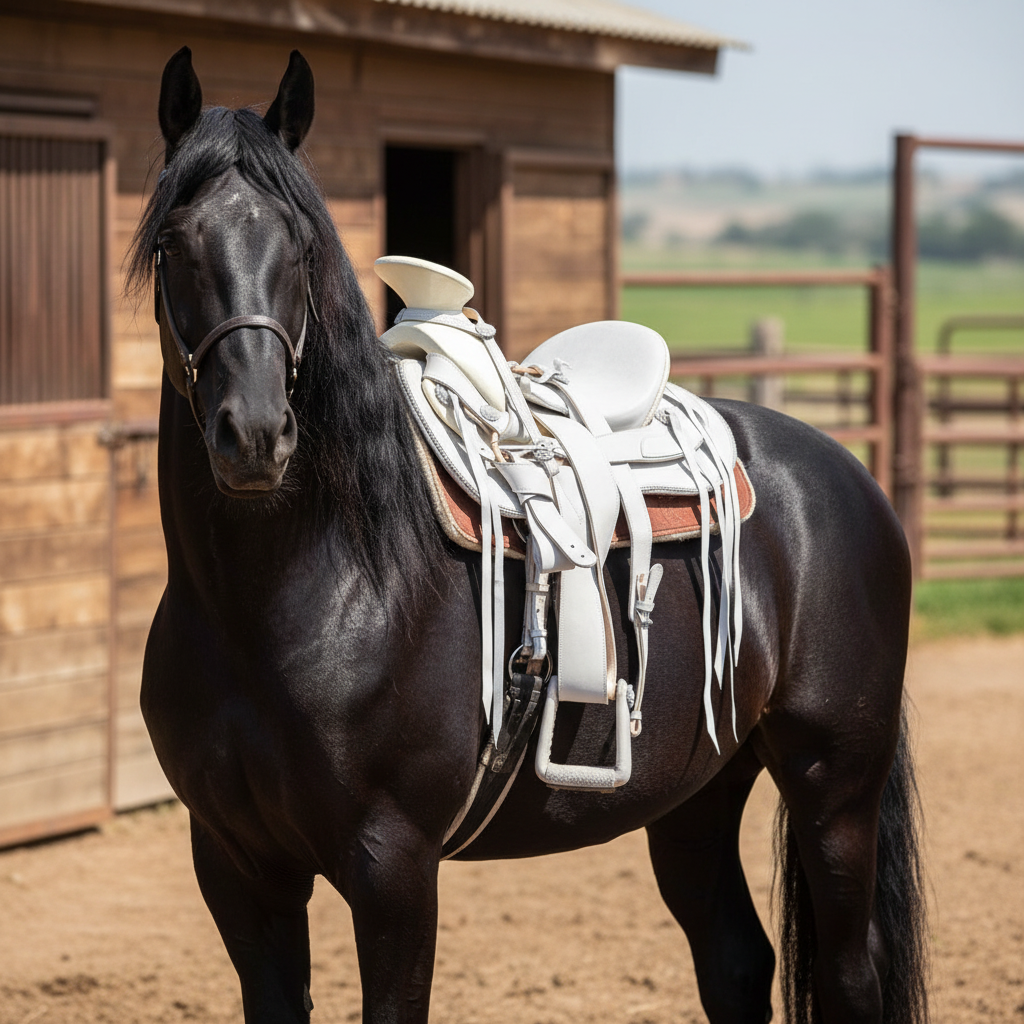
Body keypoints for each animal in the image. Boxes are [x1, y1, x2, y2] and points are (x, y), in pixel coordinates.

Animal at [128, 47, 928, 1024]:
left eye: (303, 247)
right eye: (173, 244)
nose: (254, 434)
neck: (285, 599)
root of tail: (849, 477)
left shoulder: (393, 869)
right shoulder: (237, 867)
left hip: (833, 786)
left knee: (851, 977)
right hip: (700, 790)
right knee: (737, 962)